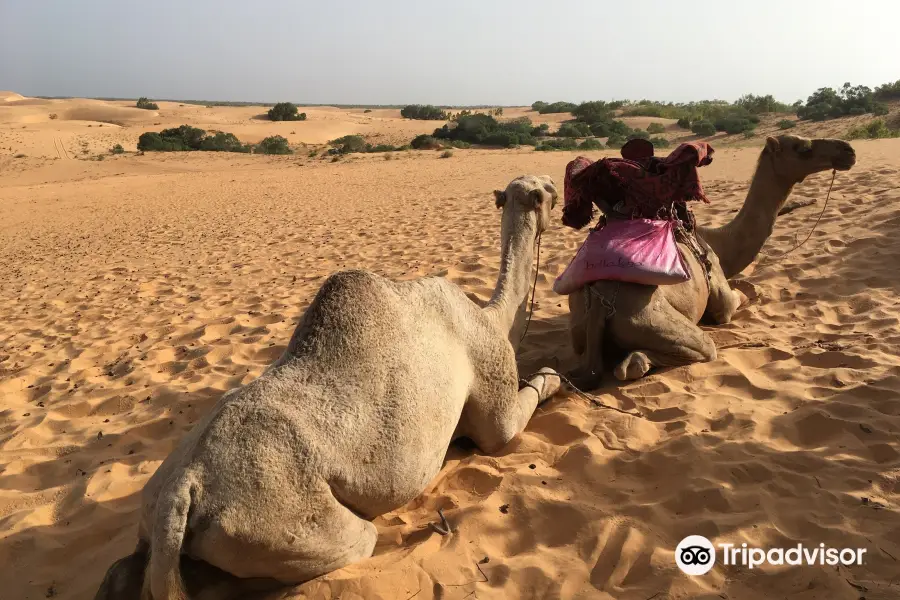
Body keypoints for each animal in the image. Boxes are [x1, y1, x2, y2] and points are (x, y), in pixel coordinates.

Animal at [98, 175, 564, 600]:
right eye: (544, 190)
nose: (557, 188)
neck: (490, 317)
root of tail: (182, 490)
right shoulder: (493, 397)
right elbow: (511, 420)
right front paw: (553, 378)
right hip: (291, 528)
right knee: (348, 546)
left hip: (156, 519)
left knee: (127, 568)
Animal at [568, 134, 856, 386]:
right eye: (802, 148)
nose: (848, 151)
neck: (717, 243)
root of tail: (598, 309)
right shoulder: (721, 299)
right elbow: (737, 299)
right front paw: (752, 289)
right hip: (650, 320)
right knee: (646, 362)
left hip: (580, 330)